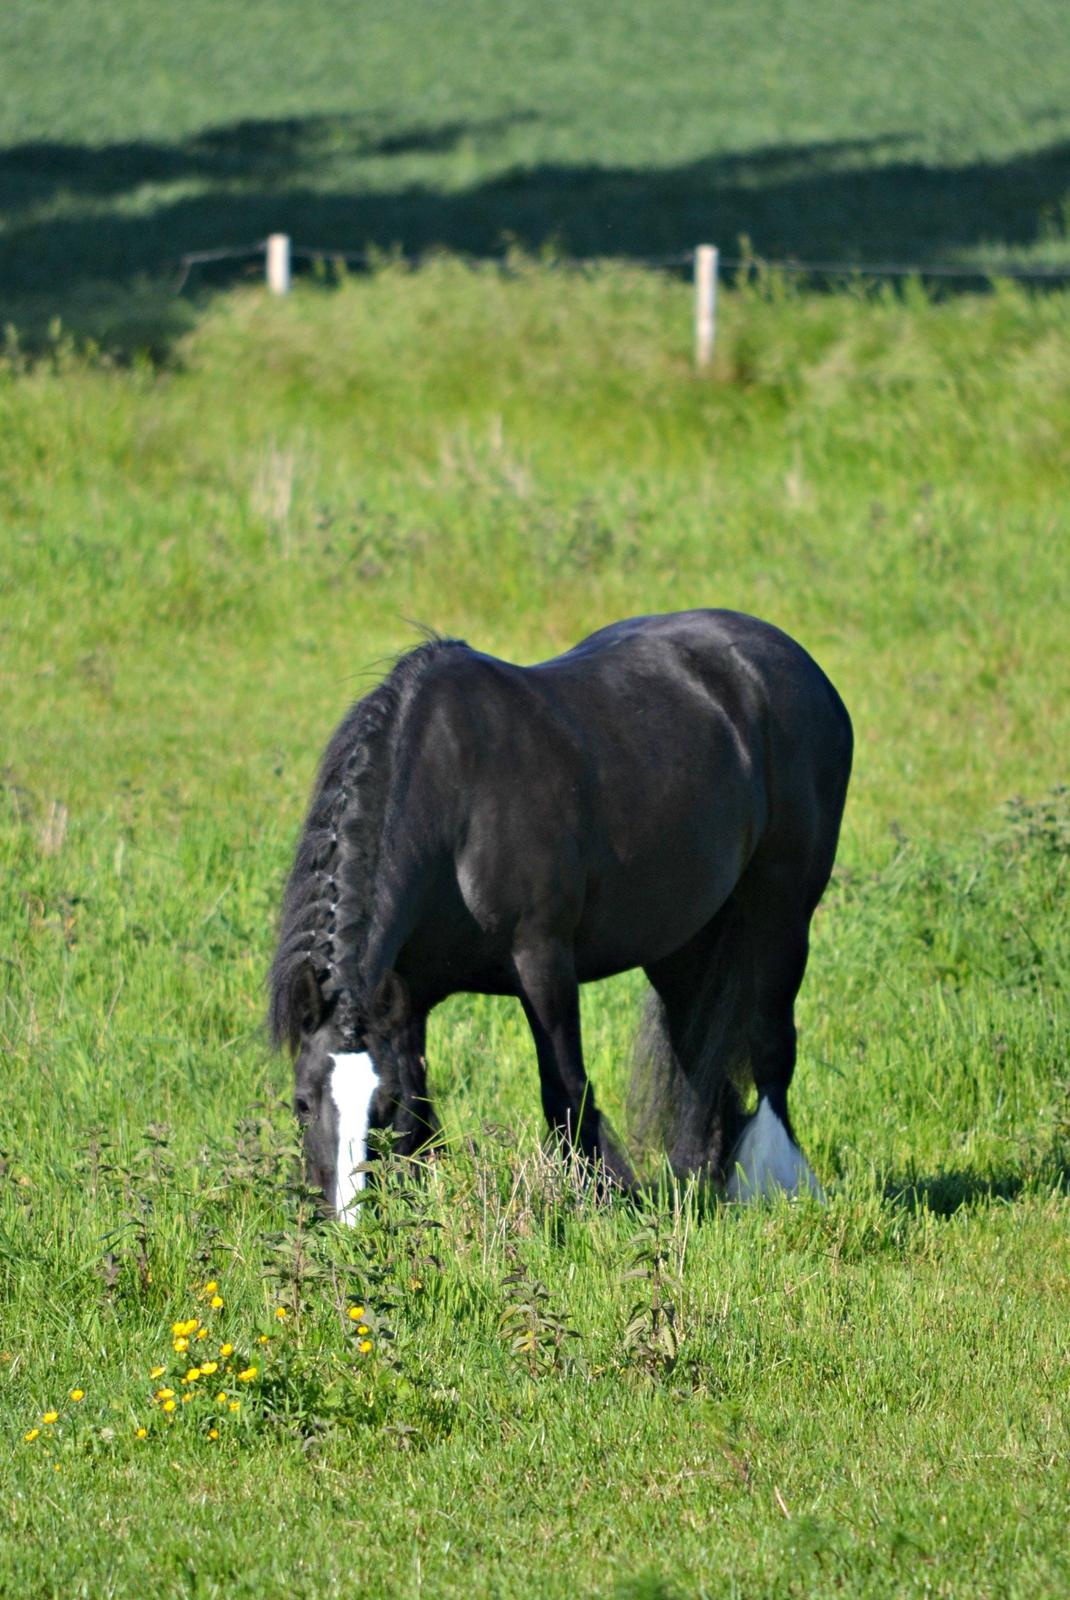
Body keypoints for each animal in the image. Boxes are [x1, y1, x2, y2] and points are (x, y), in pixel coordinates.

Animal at [267, 608, 850, 1209]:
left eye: (375, 1108)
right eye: (302, 1102)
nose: (344, 1216)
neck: (455, 802)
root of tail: (794, 663)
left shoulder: (543, 962)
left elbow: (565, 1089)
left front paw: (592, 1198)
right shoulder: (407, 996)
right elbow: (418, 1107)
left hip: (783, 914)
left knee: (772, 1048)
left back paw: (773, 1182)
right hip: (683, 941)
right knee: (698, 1055)